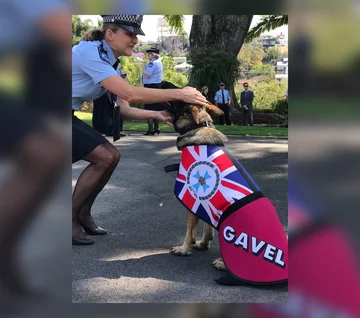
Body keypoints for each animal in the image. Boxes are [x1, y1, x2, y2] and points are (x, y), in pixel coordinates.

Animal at [161, 80, 228, 270]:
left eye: (179, 90)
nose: (162, 81)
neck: (199, 126)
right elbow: (207, 226)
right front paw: (204, 243)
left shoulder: (193, 199)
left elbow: (189, 229)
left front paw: (184, 249)